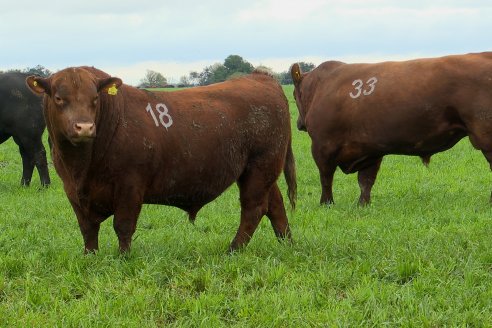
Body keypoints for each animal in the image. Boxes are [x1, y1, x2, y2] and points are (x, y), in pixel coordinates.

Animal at [26, 66, 296, 251]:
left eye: (94, 98)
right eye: (59, 98)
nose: (84, 127)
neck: (82, 166)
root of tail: (260, 78)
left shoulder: (130, 185)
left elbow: (123, 225)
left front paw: (123, 258)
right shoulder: (73, 191)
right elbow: (87, 229)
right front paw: (90, 257)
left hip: (260, 167)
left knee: (254, 208)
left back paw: (233, 250)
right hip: (260, 172)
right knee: (275, 204)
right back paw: (286, 243)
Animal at [290, 51, 492, 205]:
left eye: (293, 95)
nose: (299, 123)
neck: (320, 88)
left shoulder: (322, 146)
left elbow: (326, 178)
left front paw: (326, 204)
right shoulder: (370, 150)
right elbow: (365, 181)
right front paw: (363, 205)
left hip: (485, 137)